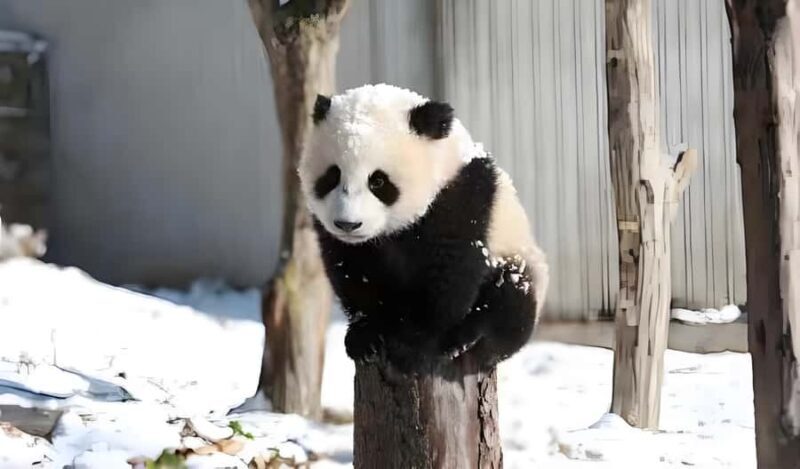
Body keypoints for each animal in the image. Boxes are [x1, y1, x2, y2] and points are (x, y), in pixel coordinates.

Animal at [299, 84, 548, 372]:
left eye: (378, 181)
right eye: (332, 176)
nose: (348, 224)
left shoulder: (460, 196)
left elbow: (450, 270)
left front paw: (412, 345)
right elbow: (354, 268)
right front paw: (366, 336)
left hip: (519, 260)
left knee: (510, 298)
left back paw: (467, 338)